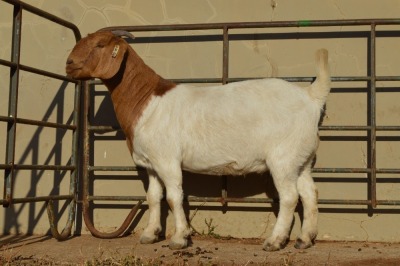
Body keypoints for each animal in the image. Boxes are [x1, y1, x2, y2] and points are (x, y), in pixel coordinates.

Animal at [65, 31, 328, 251]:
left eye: (99, 44)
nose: (68, 64)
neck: (147, 100)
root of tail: (311, 97)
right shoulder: (152, 163)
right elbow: (153, 197)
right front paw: (150, 234)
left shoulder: (167, 160)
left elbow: (174, 196)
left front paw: (179, 238)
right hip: (301, 159)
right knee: (309, 192)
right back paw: (305, 239)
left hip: (283, 157)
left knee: (290, 196)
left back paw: (275, 241)